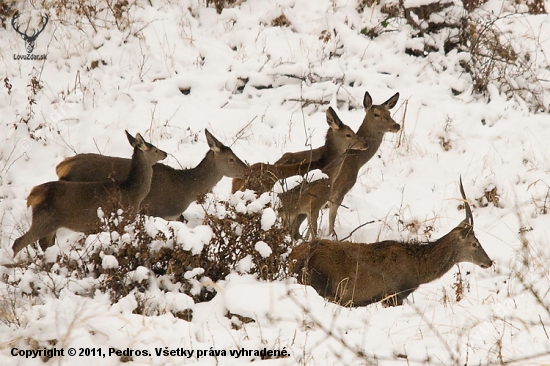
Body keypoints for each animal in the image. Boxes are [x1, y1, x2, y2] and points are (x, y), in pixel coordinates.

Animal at [12, 130, 168, 256]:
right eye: (155, 149)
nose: (165, 153)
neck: (134, 192)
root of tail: (33, 195)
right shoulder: (123, 218)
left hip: (50, 223)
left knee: (45, 244)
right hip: (44, 219)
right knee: (18, 243)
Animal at [292, 179, 498, 308]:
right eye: (475, 243)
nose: (489, 262)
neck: (418, 270)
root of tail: (291, 259)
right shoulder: (393, 294)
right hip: (319, 281)